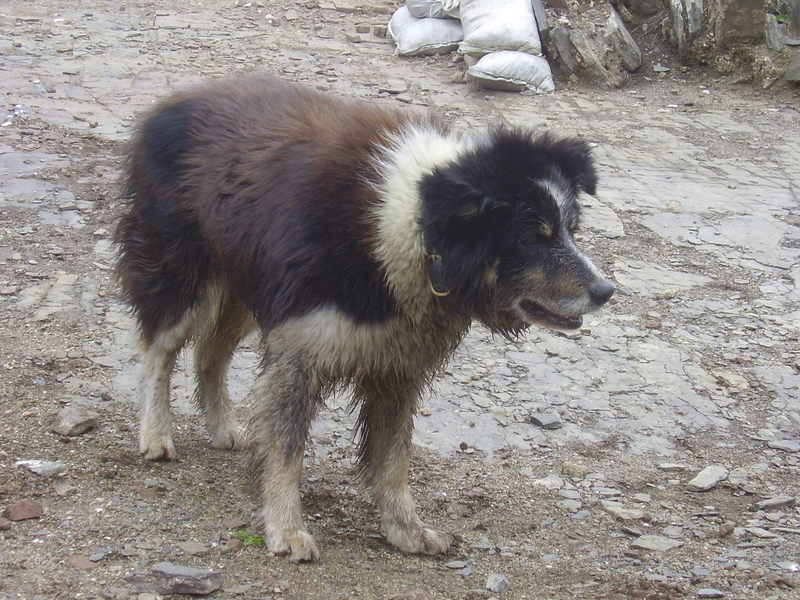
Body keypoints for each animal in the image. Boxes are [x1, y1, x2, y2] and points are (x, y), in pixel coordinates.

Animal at [114, 75, 612, 564]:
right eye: (533, 236)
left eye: (571, 229)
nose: (606, 292)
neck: (416, 229)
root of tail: (170, 102)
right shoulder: (301, 344)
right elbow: (287, 447)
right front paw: (287, 529)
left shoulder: (398, 361)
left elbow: (393, 460)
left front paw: (406, 530)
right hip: (182, 272)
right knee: (159, 350)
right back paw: (155, 435)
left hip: (244, 283)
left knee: (210, 353)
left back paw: (223, 428)